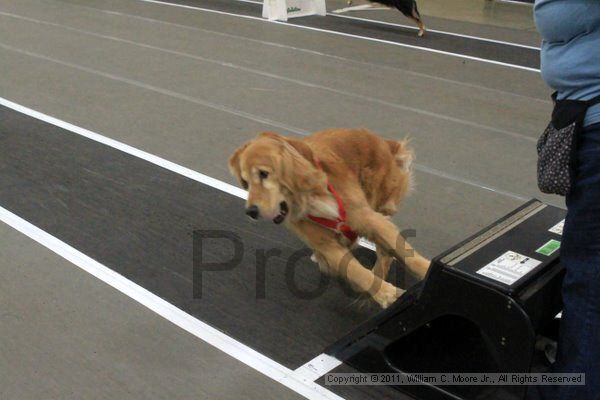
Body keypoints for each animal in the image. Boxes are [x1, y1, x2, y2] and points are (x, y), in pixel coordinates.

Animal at [230, 130, 432, 308]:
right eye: (245, 183)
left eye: (263, 174)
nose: (251, 211)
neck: (310, 196)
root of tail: (386, 143)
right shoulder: (326, 245)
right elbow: (356, 271)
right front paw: (384, 293)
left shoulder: (368, 219)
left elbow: (405, 252)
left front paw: (426, 269)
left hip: (380, 200)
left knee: (385, 247)